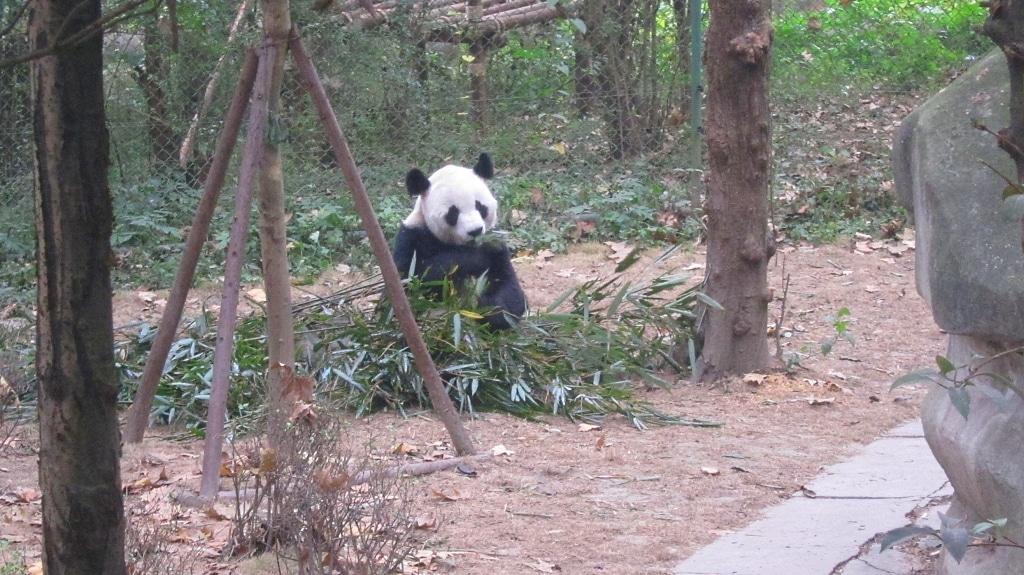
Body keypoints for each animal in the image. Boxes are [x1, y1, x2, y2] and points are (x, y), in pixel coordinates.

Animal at [387, 152, 524, 329]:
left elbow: (510, 290)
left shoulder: (498, 249)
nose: (475, 231)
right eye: (453, 213)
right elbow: (415, 281)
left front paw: (492, 311)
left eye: (480, 206)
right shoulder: (411, 238)